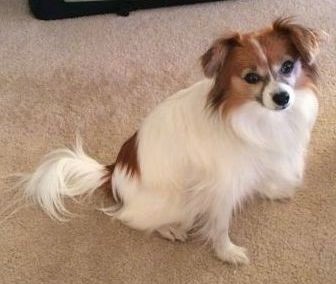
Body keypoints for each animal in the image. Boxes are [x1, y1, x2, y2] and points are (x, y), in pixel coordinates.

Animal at [19, 18, 322, 266]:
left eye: (288, 66)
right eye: (251, 77)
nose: (282, 97)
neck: (256, 116)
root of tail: (113, 173)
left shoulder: (260, 160)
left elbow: (260, 178)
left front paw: (272, 191)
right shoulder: (221, 186)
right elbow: (220, 224)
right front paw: (227, 252)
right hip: (176, 200)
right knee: (131, 217)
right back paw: (170, 229)